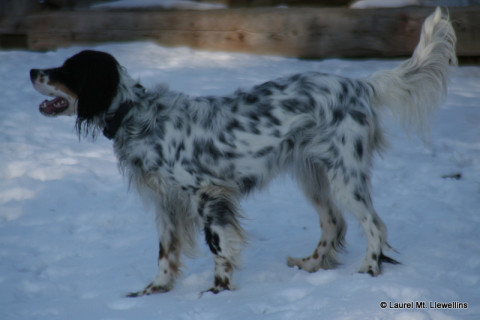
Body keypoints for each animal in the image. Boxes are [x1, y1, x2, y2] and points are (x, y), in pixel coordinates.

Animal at [28, 8, 456, 296]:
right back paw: (311, 265)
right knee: (334, 223)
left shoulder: (207, 194)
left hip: (345, 176)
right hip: (313, 176)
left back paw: (368, 270)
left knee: (373, 225)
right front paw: (153, 291)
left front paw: (217, 290)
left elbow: (218, 245)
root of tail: (360, 84)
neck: (136, 114)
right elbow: (166, 252)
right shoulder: (165, 202)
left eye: (67, 69)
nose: (32, 71)